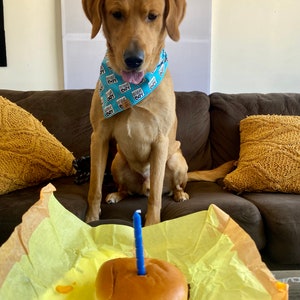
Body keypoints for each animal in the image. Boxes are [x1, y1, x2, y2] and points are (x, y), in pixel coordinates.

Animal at [82, 0, 234, 225]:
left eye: (152, 16)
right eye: (116, 14)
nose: (133, 59)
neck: (131, 91)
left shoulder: (160, 142)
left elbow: (155, 194)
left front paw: (152, 224)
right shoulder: (99, 137)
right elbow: (95, 187)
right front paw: (91, 219)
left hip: (175, 160)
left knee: (169, 186)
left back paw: (180, 194)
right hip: (118, 161)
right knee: (125, 188)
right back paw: (117, 194)